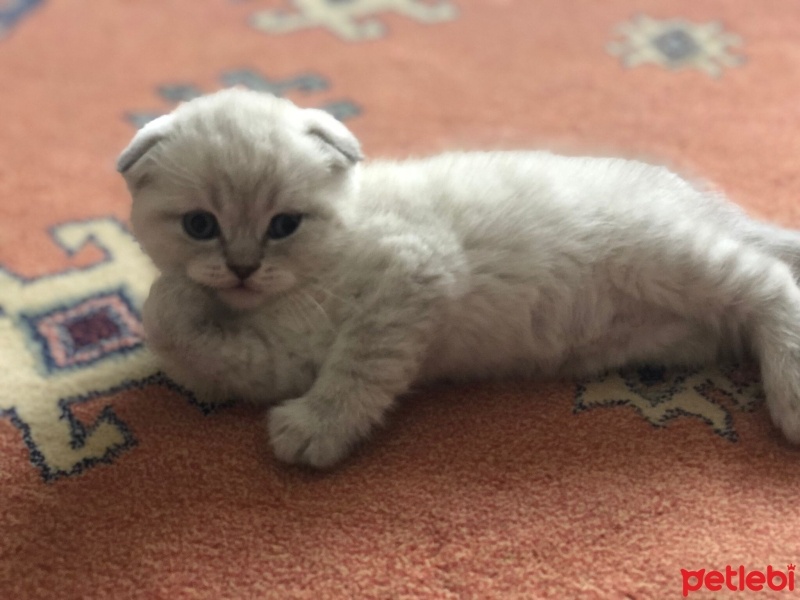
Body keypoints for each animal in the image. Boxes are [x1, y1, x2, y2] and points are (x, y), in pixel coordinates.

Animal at [119, 88, 800, 468]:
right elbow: (178, 331)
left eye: (283, 224)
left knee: (773, 283)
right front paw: (179, 292)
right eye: (201, 225)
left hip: (672, 258)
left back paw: (790, 396)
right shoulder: (277, 358)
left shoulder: (414, 273)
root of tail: (697, 196)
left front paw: (317, 428)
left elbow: (360, 364)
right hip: (686, 318)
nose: (240, 268)